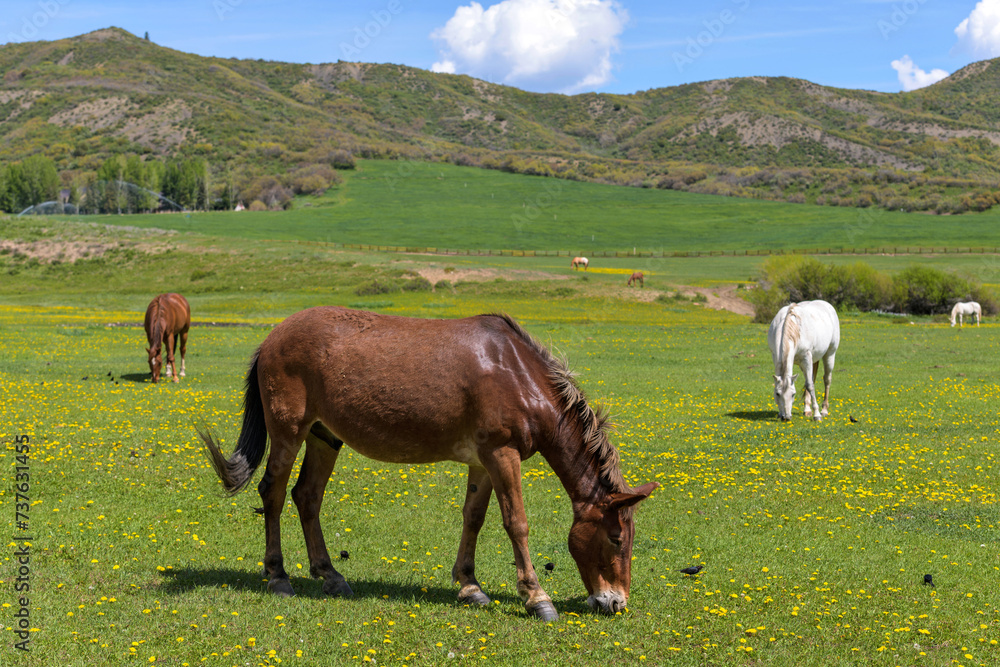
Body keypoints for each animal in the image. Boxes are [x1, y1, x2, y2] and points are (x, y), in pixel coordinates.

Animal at [200, 307, 657, 621]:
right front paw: (536, 598)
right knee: (274, 494)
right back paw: (278, 577)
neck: (515, 374)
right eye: (616, 539)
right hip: (288, 432)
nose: (615, 602)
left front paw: (470, 586)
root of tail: (272, 337)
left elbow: (474, 517)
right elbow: (517, 523)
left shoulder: (483, 460)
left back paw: (330, 575)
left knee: (307, 497)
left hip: (324, 436)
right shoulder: (501, 454)